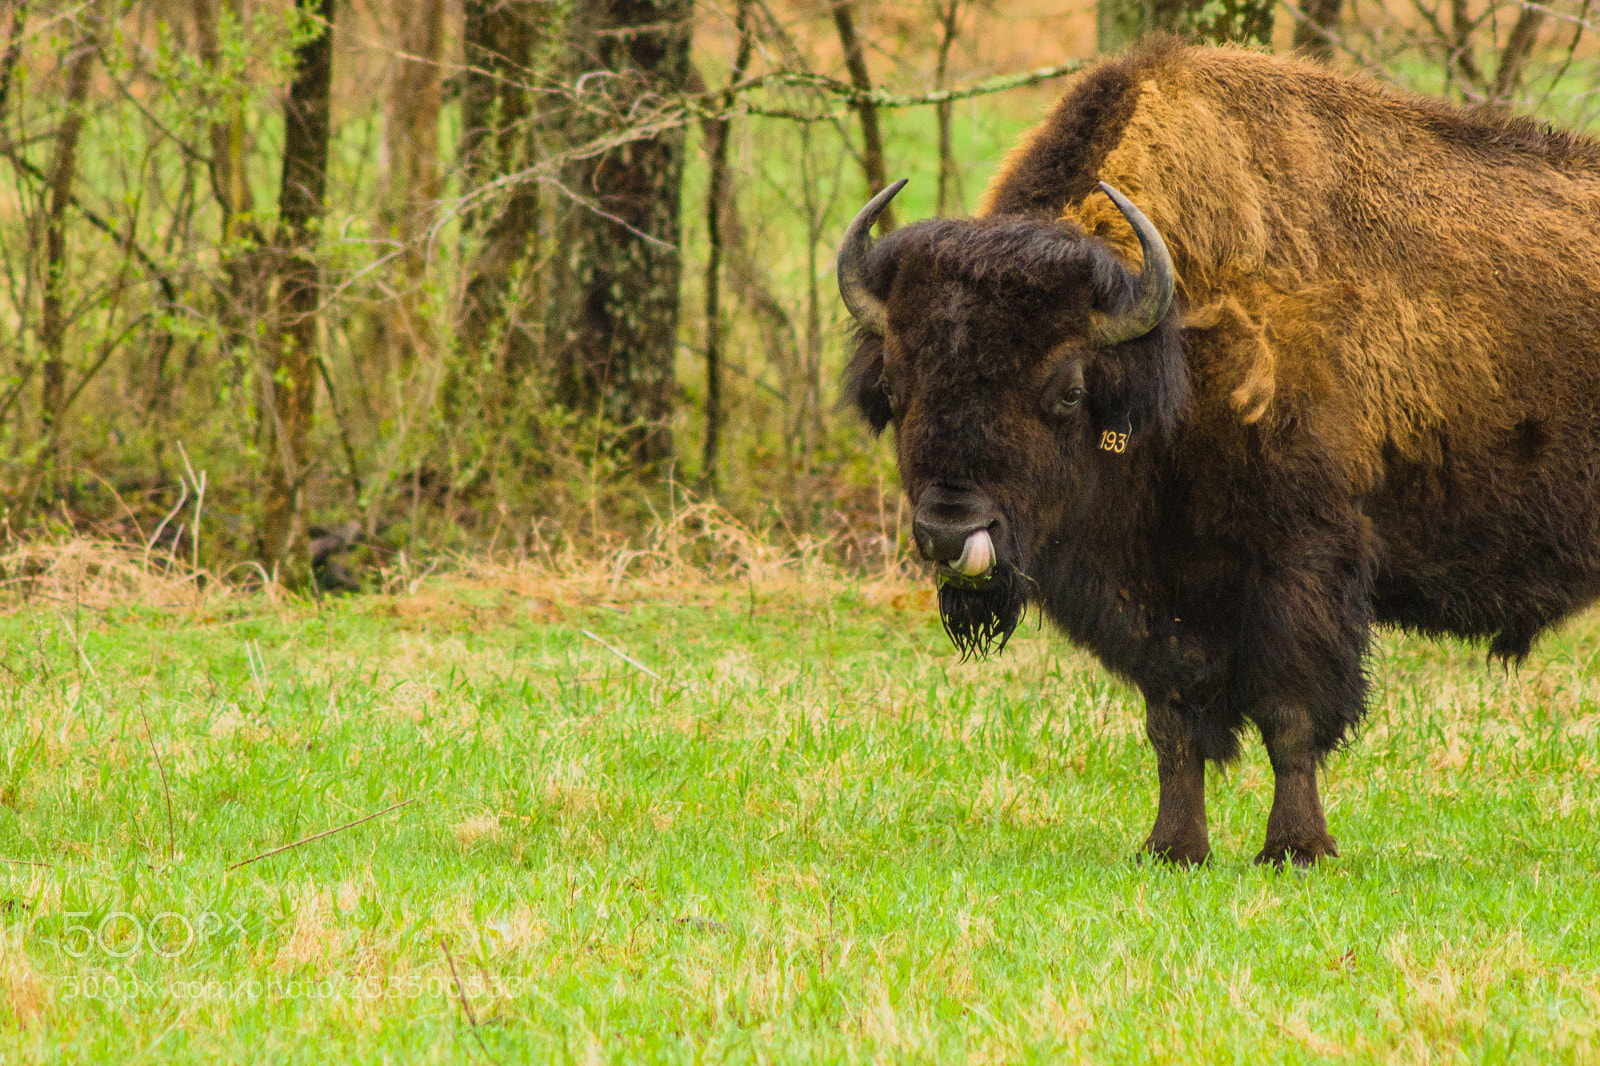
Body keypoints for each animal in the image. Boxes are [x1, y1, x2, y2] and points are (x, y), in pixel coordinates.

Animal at [838, 39, 1600, 866]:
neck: (1170, 339)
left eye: (1068, 388)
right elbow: (1174, 725)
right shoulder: (1165, 597)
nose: (950, 530)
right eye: (897, 383)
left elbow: (1291, 718)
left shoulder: (1300, 566)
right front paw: (1174, 847)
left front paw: (1296, 849)